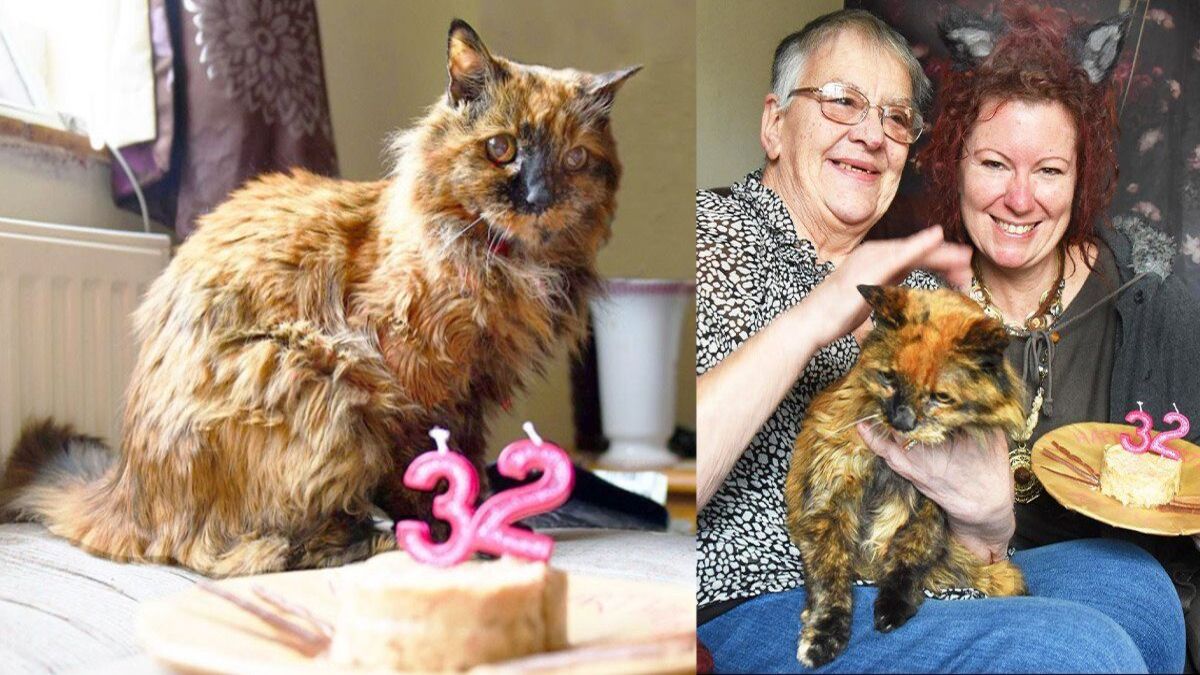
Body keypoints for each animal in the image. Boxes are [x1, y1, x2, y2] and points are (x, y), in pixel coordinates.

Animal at [0, 22, 638, 578]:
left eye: (574, 160)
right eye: (501, 148)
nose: (538, 195)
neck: (507, 265)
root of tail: (125, 487)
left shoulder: (473, 394)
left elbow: (467, 463)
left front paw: (483, 518)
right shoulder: (409, 379)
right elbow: (422, 472)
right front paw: (446, 531)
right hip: (323, 375)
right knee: (237, 552)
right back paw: (368, 536)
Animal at [787, 282, 1032, 662]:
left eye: (941, 397)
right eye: (888, 377)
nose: (902, 420)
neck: (888, 470)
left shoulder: (933, 508)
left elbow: (909, 555)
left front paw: (894, 605)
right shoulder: (827, 503)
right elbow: (831, 577)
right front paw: (825, 633)